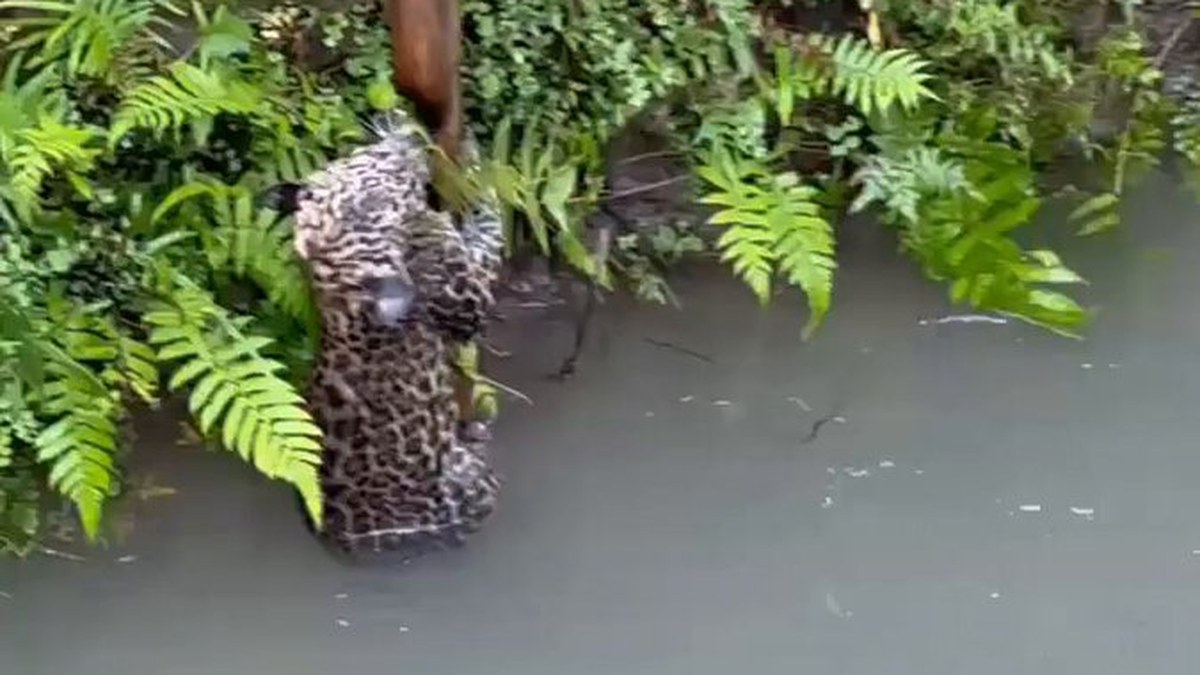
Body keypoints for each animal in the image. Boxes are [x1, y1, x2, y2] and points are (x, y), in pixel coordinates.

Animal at [266, 110, 504, 558]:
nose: (408, 129)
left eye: (359, 155)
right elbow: (487, 237)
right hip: (469, 482)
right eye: (388, 175)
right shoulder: (465, 294)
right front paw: (476, 168)